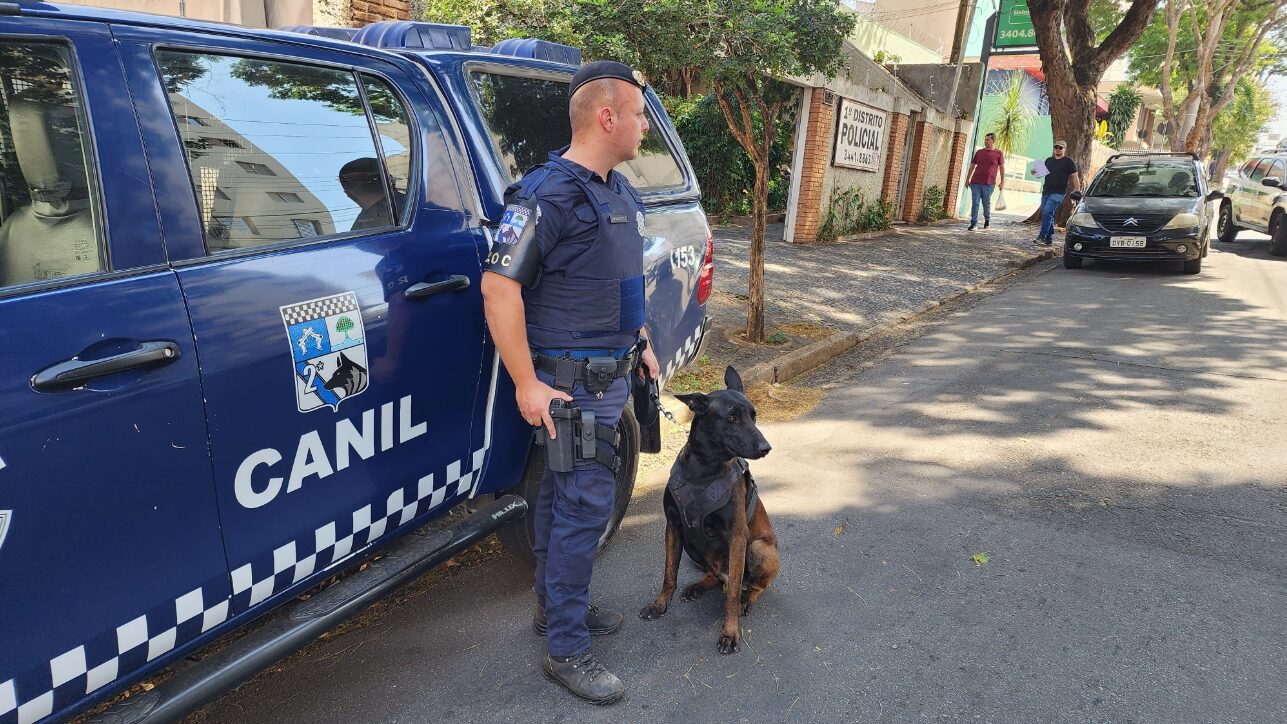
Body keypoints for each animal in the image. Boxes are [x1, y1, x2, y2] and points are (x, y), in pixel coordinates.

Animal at [640, 365, 777, 653]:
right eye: (732, 418)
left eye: (754, 416)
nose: (766, 448)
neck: (703, 468)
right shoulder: (674, 527)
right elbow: (669, 573)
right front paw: (660, 604)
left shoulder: (737, 536)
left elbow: (733, 593)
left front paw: (731, 631)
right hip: (693, 547)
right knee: (715, 575)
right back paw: (699, 586)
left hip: (759, 548)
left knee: (752, 586)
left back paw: (748, 599)